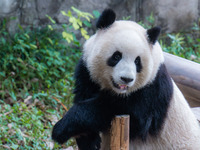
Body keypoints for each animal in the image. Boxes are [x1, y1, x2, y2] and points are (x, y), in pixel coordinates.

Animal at [52, 8, 200, 149]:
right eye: (116, 56)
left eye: (137, 61)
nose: (126, 79)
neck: (119, 92)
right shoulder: (88, 74)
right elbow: (84, 95)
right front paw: (89, 141)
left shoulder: (153, 89)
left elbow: (123, 111)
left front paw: (61, 128)